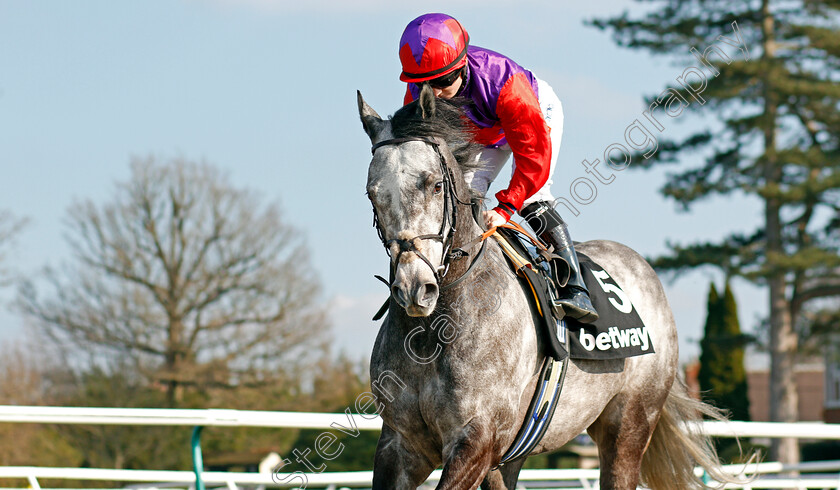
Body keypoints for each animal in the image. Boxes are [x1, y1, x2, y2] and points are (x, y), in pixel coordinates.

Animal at [358, 86, 732, 488]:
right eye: (372, 194)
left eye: (434, 184)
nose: (414, 287)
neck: (436, 329)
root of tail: (643, 269)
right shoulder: (400, 444)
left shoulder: (477, 439)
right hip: (514, 455)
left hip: (630, 424)